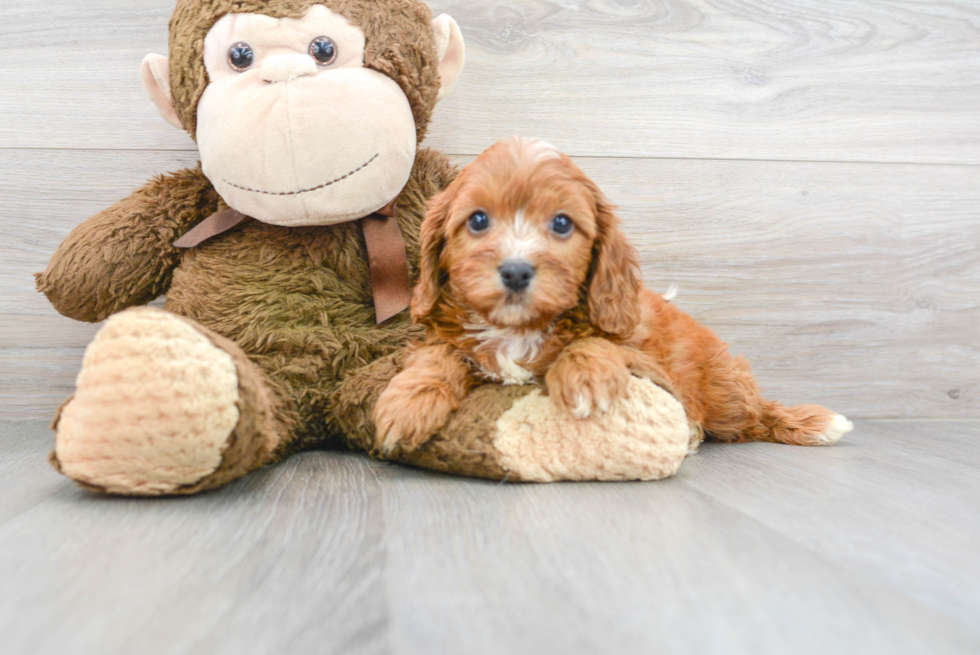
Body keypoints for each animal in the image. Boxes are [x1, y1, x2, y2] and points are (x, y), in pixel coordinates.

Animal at [374, 137, 848, 456]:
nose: (516, 270)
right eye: (477, 220)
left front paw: (586, 378)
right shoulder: (439, 335)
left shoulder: (644, 358)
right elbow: (440, 354)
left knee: (753, 414)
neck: (519, 329)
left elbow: (598, 341)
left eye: (562, 223)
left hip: (724, 392)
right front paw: (408, 403)